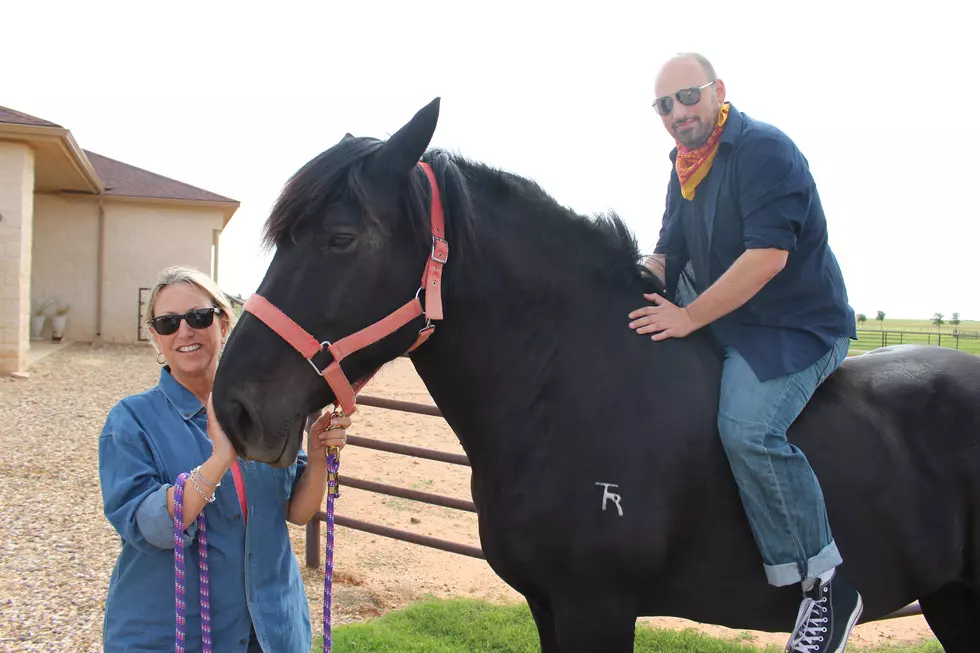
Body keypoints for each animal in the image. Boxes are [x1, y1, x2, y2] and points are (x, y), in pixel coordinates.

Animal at [214, 98, 980, 652]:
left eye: (341, 238)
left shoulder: (596, 607)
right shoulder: (547, 605)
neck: (569, 386)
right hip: (951, 601)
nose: (235, 408)